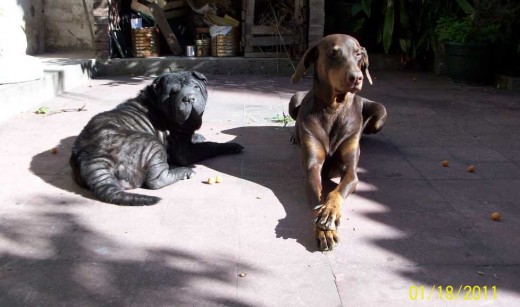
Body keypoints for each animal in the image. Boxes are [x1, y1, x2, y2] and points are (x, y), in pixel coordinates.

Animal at [68, 71, 244, 207]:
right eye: (173, 93)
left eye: (195, 86)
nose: (189, 98)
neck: (156, 104)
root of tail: (93, 157)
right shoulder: (185, 152)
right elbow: (209, 146)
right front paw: (231, 146)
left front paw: (198, 136)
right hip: (151, 144)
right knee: (156, 180)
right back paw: (184, 172)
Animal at [290, 33, 388, 251]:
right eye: (333, 53)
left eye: (358, 54)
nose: (356, 77)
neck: (333, 108)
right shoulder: (312, 166)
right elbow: (317, 198)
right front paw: (323, 230)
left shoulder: (351, 171)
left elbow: (336, 192)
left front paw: (329, 214)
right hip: (294, 98)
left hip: (380, 112)